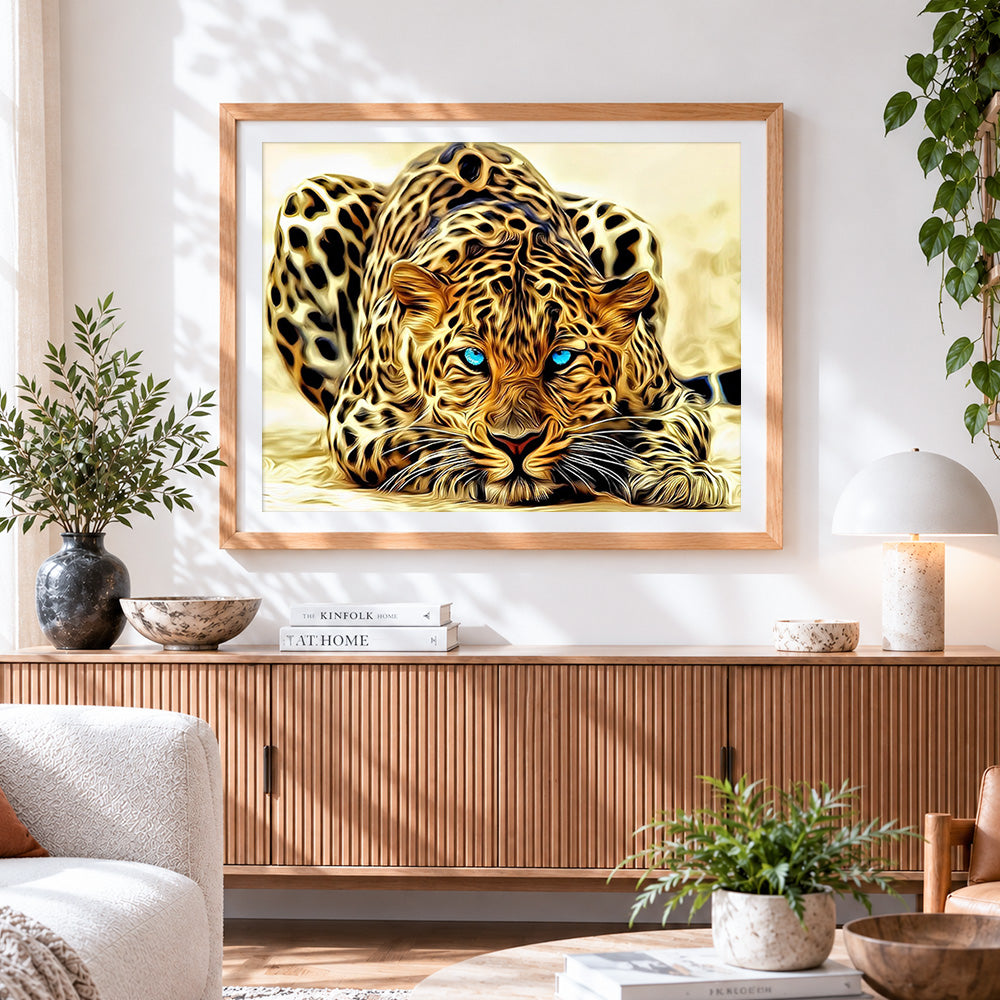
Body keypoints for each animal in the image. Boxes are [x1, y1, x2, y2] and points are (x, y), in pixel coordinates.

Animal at [265, 141, 733, 508]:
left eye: (562, 358)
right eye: (473, 358)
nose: (517, 444)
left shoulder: (675, 400)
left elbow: (664, 430)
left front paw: (678, 475)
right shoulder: (357, 419)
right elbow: (418, 441)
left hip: (623, 220)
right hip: (308, 200)